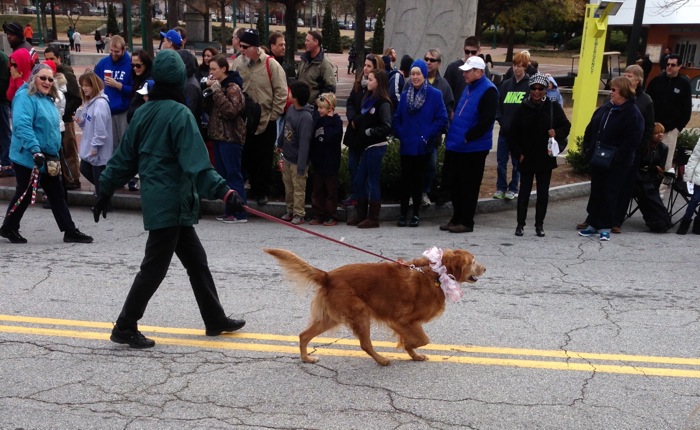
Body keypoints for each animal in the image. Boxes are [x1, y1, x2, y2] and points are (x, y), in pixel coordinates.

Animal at [264, 249, 486, 366]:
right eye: (474, 261)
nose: (485, 268)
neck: (435, 274)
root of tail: (328, 276)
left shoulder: (403, 322)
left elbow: (412, 341)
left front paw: (413, 354)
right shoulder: (402, 320)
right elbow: (421, 340)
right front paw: (410, 348)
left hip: (330, 318)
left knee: (303, 335)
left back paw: (306, 358)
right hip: (360, 314)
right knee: (365, 344)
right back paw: (381, 360)